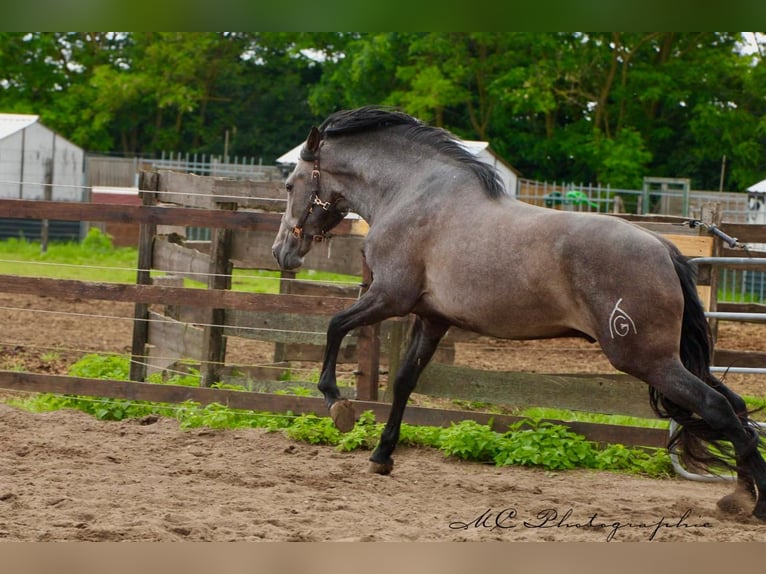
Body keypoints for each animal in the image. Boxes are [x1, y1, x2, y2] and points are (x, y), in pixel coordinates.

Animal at [272, 105, 766, 521]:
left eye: (291, 185)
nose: (282, 253)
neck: (411, 195)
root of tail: (664, 250)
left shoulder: (389, 297)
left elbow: (335, 326)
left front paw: (338, 404)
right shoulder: (432, 319)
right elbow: (404, 381)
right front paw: (381, 456)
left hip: (646, 358)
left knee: (719, 409)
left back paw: (752, 503)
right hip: (667, 359)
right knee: (737, 408)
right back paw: (741, 494)